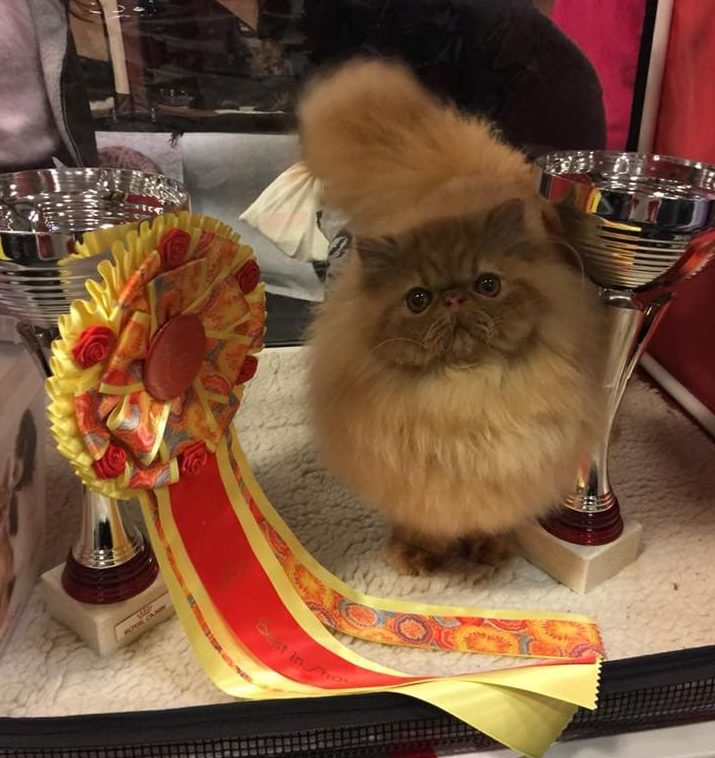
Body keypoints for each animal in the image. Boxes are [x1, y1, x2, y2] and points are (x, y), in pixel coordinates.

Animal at [299, 59, 608, 575]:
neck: (461, 400)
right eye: (418, 298)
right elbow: (422, 523)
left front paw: (488, 553)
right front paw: (418, 555)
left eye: (488, 285)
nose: (455, 299)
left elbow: (491, 521)